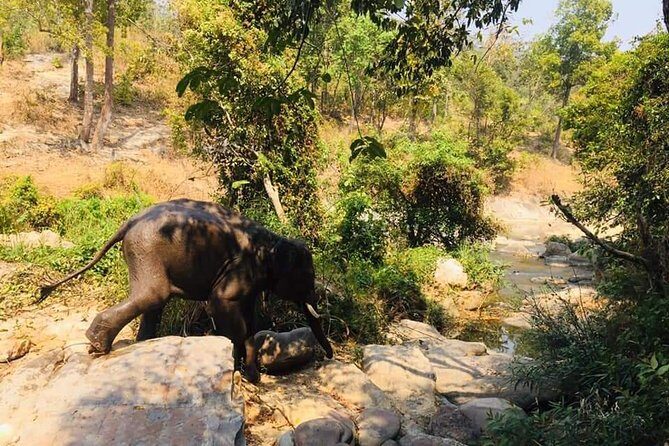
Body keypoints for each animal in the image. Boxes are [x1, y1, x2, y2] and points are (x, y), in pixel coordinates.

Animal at [39, 198, 334, 383]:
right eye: (306, 276)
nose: (329, 357)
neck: (273, 240)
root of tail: (130, 222)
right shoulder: (240, 267)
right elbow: (220, 304)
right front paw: (242, 372)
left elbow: (250, 320)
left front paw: (253, 376)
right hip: (146, 250)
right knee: (153, 295)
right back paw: (97, 346)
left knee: (154, 302)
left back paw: (137, 343)